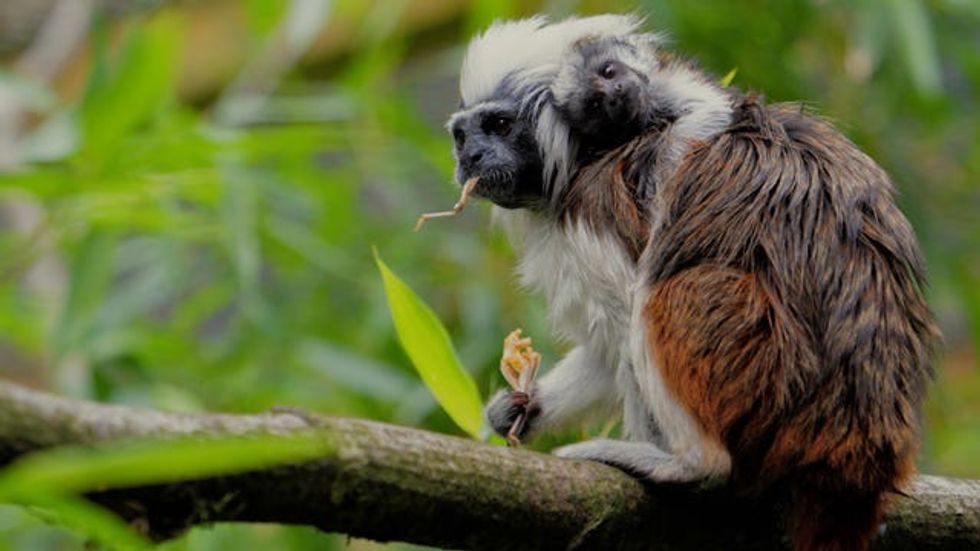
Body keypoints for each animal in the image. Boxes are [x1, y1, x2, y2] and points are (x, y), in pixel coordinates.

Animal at [449, 15, 939, 551]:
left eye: (498, 126)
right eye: (462, 136)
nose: (470, 157)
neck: (580, 159)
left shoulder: (592, 217)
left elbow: (627, 317)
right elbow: (605, 351)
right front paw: (522, 408)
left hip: (765, 367)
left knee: (659, 295)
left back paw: (691, 463)